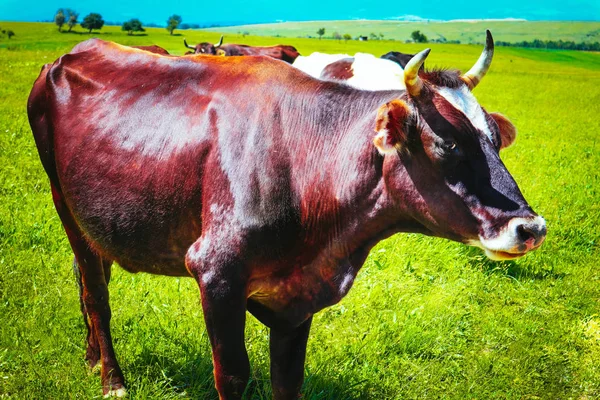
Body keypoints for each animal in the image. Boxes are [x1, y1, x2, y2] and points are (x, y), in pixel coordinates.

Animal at [27, 29, 544, 398]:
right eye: (448, 143)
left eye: (494, 139)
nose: (531, 227)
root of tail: (69, 55)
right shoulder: (216, 274)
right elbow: (233, 375)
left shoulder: (297, 297)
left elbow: (288, 380)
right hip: (63, 201)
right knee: (96, 293)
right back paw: (111, 378)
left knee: (89, 275)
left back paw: (93, 356)